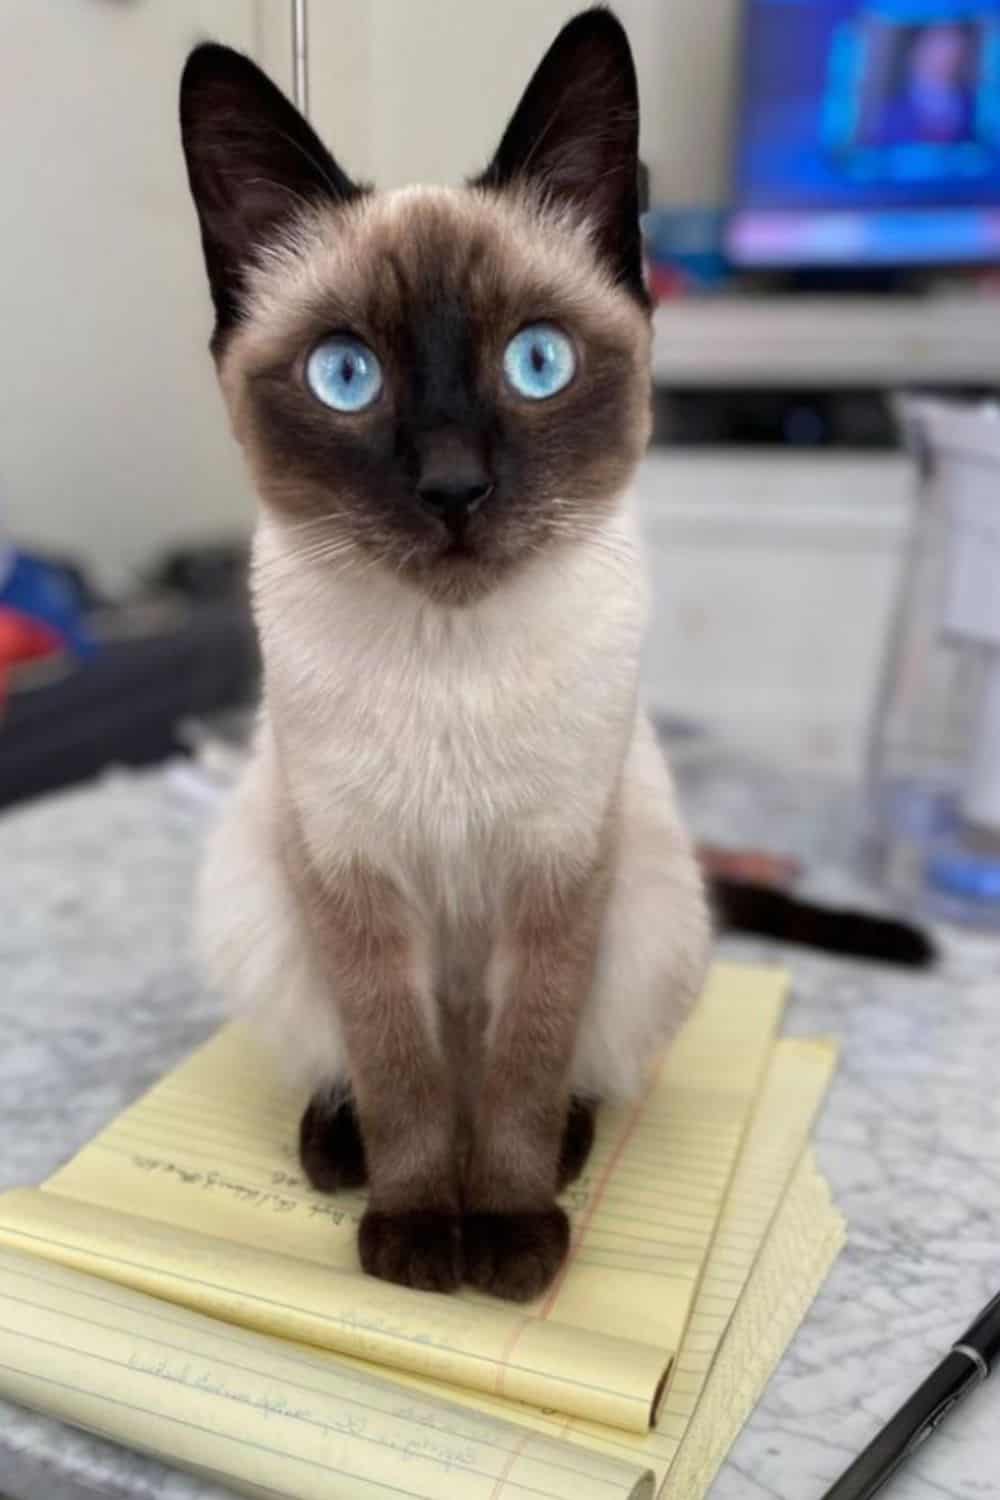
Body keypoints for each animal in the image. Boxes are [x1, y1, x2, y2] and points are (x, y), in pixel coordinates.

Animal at [182, 8, 710, 1302]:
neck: (449, 657)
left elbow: (521, 1070)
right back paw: (342, 1158)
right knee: (349, 1067)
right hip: (259, 900)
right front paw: (421, 1236)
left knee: (565, 1074)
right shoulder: (353, 882)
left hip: (651, 918)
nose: (454, 488)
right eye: (345, 377)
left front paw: (509, 1243)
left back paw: (554, 1160)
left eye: (536, 364)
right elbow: (401, 1074)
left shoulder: (557, 877)